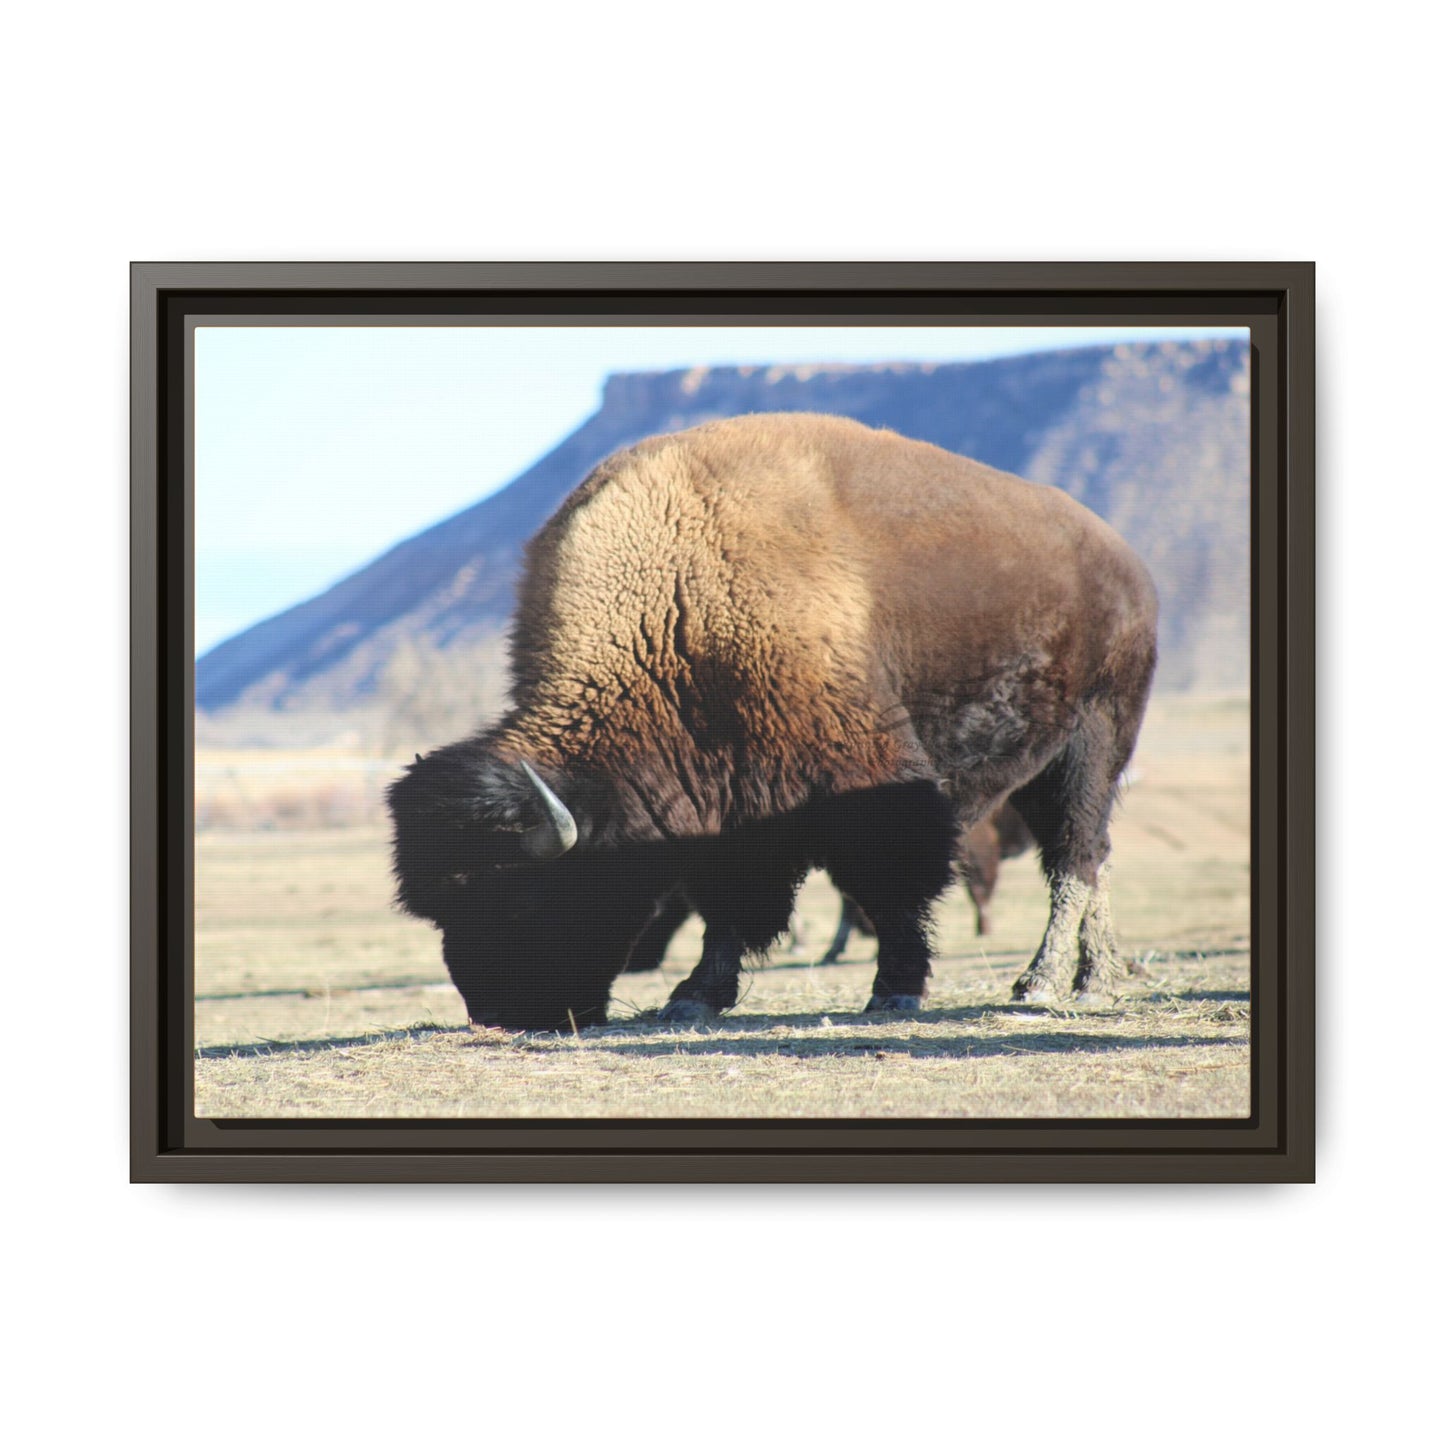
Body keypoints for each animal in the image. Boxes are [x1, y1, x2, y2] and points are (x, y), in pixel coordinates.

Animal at [388, 412, 1158, 1030]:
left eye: (519, 897)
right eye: (441, 910)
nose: (499, 1013)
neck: (675, 607)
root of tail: (1124, 561)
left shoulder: (867, 781)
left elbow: (891, 885)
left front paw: (894, 990)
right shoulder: (722, 807)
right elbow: (727, 905)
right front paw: (693, 996)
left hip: (1094, 741)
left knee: (1075, 856)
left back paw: (1047, 983)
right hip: (1043, 764)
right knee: (1088, 857)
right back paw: (1095, 976)